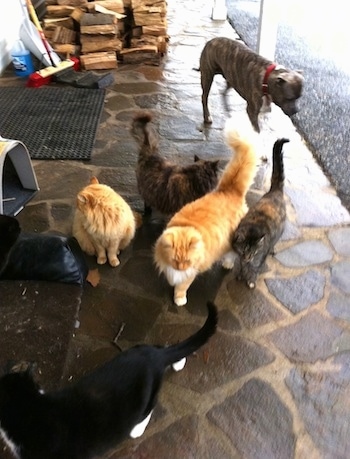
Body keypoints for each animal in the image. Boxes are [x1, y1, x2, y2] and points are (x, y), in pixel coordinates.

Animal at [0, 302, 217, 459]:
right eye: (38, 386)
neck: (31, 407)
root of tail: (154, 358)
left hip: (147, 392)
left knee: (151, 404)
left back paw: (137, 429)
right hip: (141, 349)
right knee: (162, 347)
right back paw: (178, 360)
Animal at [154, 124, 258, 308]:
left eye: (187, 262)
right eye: (175, 260)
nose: (181, 268)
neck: (187, 227)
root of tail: (229, 190)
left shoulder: (191, 272)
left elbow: (181, 287)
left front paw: (179, 298)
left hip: (235, 240)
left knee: (231, 255)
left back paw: (227, 264)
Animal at [232, 137, 290, 288]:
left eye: (254, 252)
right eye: (244, 250)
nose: (248, 258)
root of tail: (275, 190)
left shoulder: (259, 258)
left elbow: (255, 269)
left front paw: (251, 280)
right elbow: (242, 266)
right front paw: (241, 274)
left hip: (280, 231)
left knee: (275, 241)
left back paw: (273, 249)